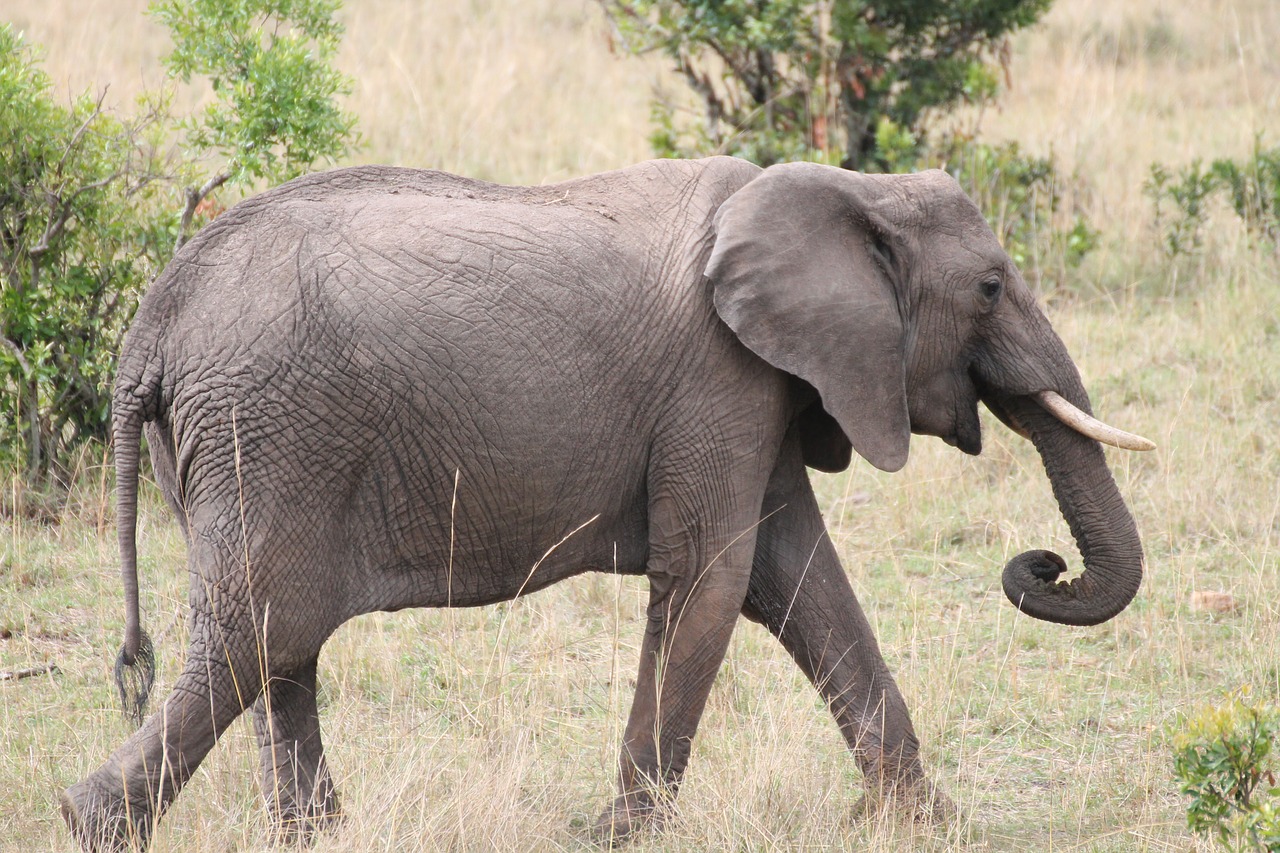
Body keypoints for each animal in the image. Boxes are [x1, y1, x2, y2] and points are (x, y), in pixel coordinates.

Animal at [60, 156, 1157, 845]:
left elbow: (799, 577)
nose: (1042, 563)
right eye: (989, 288)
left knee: (277, 644)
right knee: (258, 629)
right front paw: (621, 836)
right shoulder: (719, 377)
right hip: (269, 430)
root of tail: (152, 320)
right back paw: (94, 824)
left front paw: (929, 826)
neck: (844, 188)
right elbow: (714, 578)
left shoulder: (758, 384)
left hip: (245, 439)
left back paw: (313, 833)